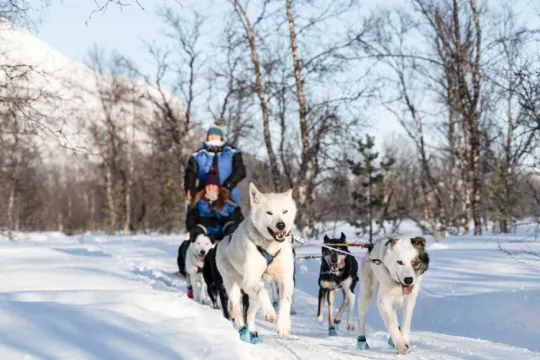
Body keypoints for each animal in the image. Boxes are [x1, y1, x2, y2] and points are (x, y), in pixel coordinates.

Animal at [214, 183, 298, 344]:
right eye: (269, 213)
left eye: (285, 211)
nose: (281, 225)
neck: (271, 247)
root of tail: (223, 242)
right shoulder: (251, 280)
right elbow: (263, 292)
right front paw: (270, 313)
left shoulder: (286, 279)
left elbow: (285, 301)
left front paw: (283, 326)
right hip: (234, 288)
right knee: (238, 313)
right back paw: (243, 332)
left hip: (252, 299)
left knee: (250, 315)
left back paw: (252, 333)